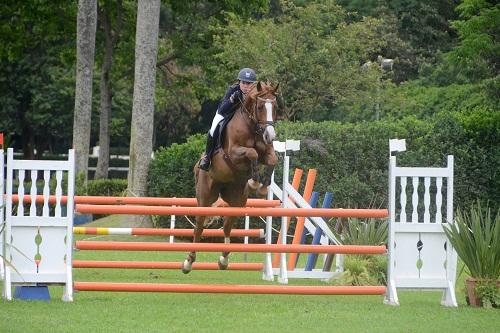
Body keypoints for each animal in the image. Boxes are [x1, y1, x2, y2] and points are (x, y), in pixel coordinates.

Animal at [182, 80, 280, 272]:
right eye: (259, 107)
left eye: (275, 106)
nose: (270, 135)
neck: (252, 127)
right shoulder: (234, 153)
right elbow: (252, 153)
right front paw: (255, 181)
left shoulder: (267, 152)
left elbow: (272, 159)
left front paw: (263, 185)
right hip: (205, 198)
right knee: (199, 227)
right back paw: (188, 262)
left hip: (237, 200)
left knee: (227, 227)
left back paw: (224, 259)